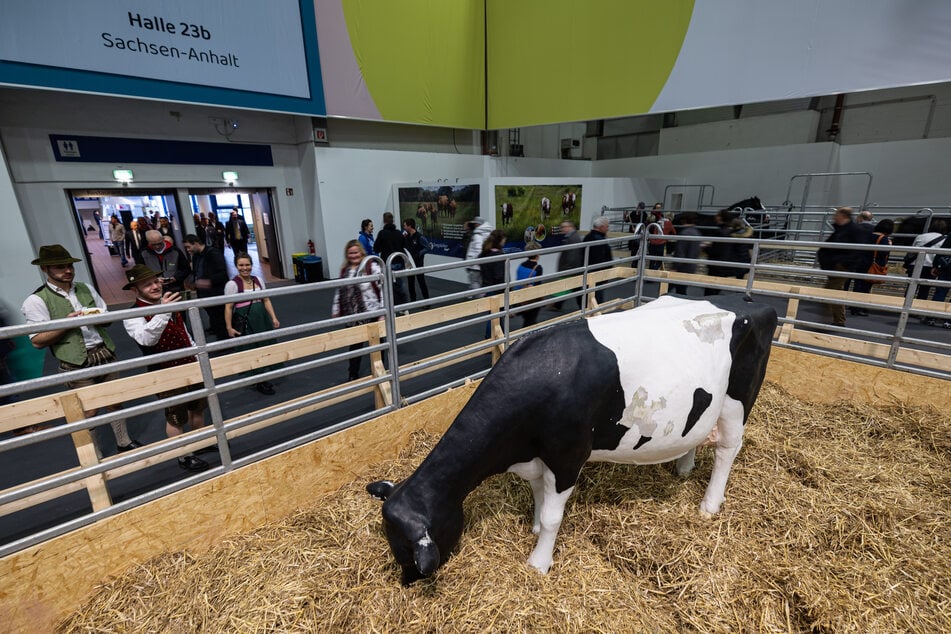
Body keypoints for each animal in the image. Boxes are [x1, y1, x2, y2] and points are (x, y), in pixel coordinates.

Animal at [368, 296, 776, 584]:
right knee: (696, 435)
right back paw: (684, 468)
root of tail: (752, 302)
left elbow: (553, 516)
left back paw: (709, 504)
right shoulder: (536, 458)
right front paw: (533, 526)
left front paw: (538, 561)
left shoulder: (567, 457)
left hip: (738, 401)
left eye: (407, 554)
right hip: (702, 405)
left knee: (727, 450)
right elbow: (538, 495)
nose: (407, 583)